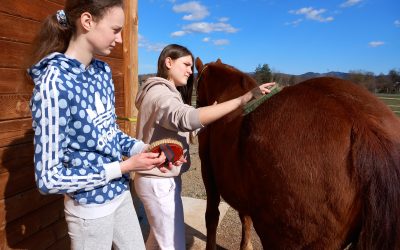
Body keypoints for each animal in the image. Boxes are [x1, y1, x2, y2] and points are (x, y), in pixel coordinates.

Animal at [195, 57, 400, 250]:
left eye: (197, 85)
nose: (199, 109)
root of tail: (361, 123)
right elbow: (244, 217)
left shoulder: (209, 172)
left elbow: (213, 216)